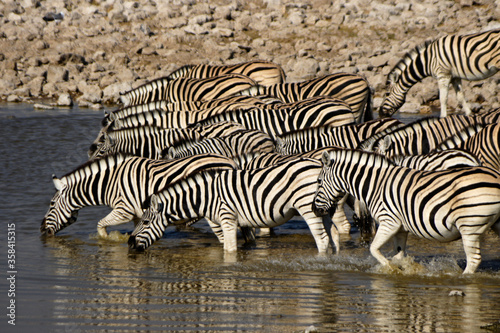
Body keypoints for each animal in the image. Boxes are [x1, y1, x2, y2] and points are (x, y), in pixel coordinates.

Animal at [39, 153, 238, 236]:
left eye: (51, 204)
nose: (40, 229)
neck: (109, 183)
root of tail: (230, 161)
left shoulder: (123, 210)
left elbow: (100, 225)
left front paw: (106, 241)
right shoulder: (136, 214)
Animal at [127, 158, 342, 252]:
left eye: (145, 223)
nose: (129, 243)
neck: (206, 196)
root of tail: (319, 165)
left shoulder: (227, 218)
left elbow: (229, 249)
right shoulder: (241, 222)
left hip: (308, 208)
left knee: (322, 239)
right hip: (323, 208)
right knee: (334, 235)